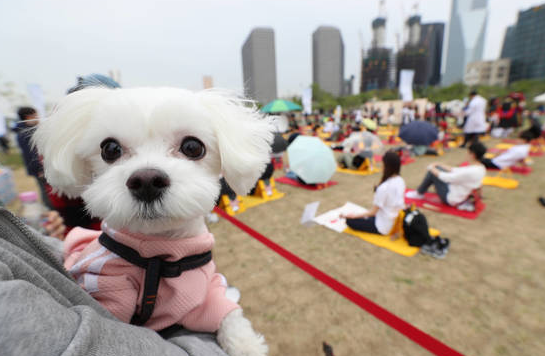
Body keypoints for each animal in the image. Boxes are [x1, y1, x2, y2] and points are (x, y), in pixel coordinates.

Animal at [33, 87, 272, 356]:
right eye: (110, 149)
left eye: (192, 146)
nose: (146, 181)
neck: (159, 256)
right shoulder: (107, 288)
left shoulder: (205, 287)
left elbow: (228, 314)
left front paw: (247, 344)